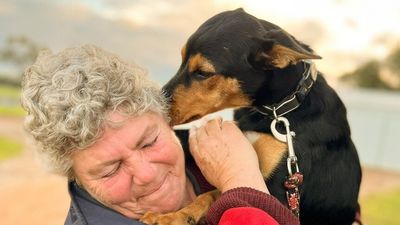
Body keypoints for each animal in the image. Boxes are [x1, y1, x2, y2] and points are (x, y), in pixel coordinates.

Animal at [141, 7, 362, 224]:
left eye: (203, 72)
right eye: (181, 59)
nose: (156, 104)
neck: (276, 110)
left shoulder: (281, 194)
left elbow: (219, 195)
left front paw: (173, 216)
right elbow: (210, 192)